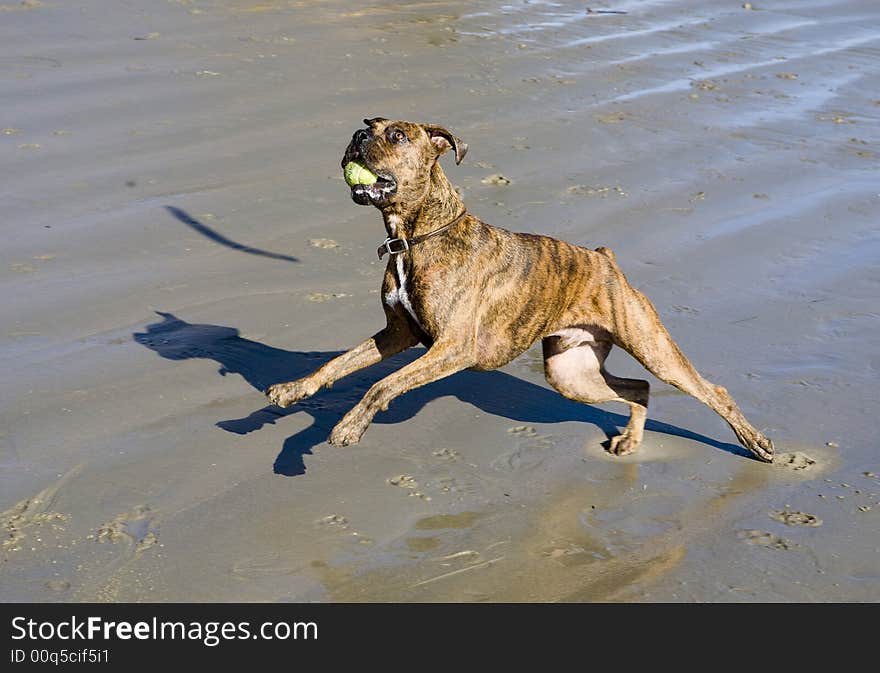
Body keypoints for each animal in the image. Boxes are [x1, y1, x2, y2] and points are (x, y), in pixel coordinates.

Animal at [264, 117, 772, 462]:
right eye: (369, 125)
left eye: (398, 136)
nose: (358, 135)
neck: (416, 236)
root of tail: (605, 258)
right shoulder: (397, 335)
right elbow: (338, 363)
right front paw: (293, 389)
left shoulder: (452, 348)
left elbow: (380, 385)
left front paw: (348, 428)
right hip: (571, 374)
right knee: (638, 389)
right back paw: (630, 440)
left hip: (652, 347)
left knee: (709, 390)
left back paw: (757, 444)